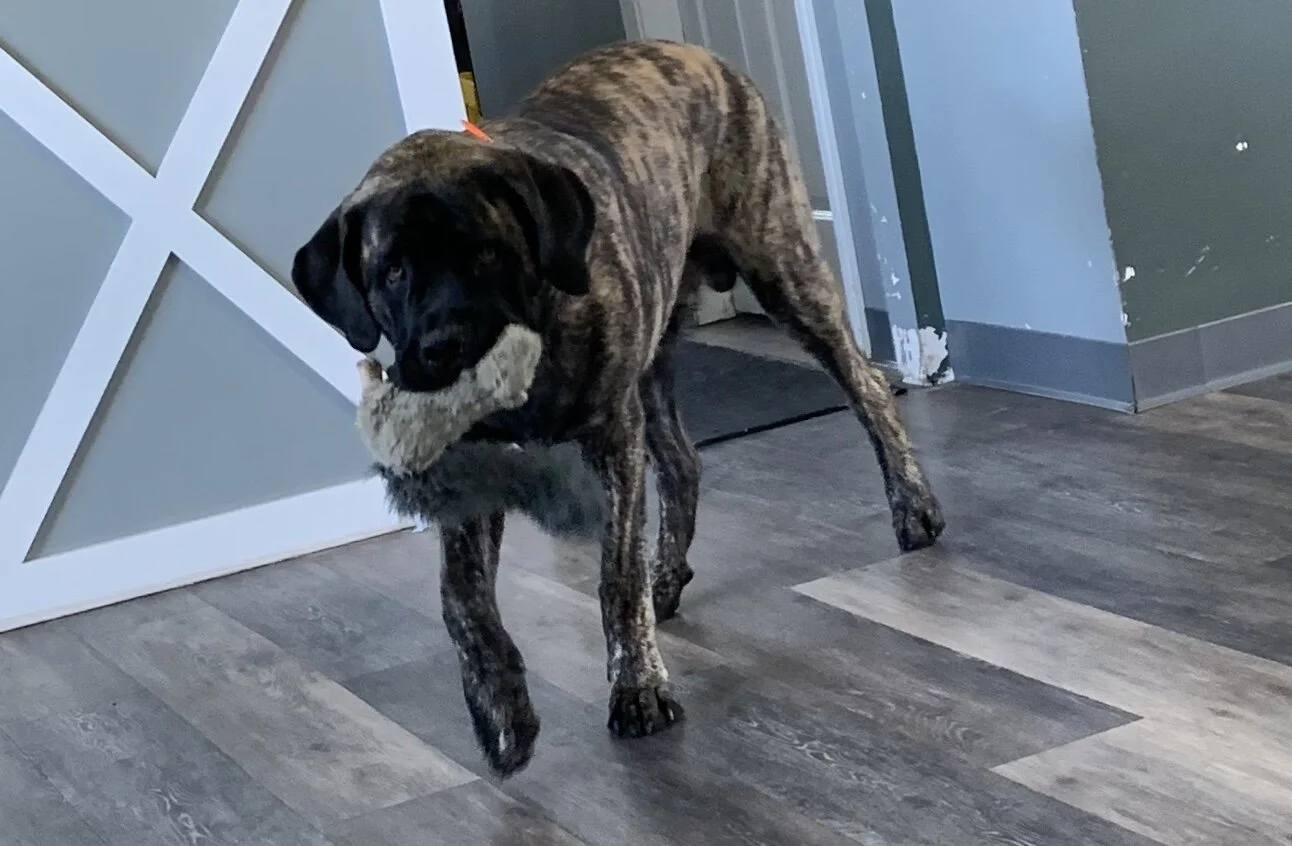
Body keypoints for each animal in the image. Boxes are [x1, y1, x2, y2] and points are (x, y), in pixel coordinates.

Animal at [291, 39, 945, 777]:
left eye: (486, 253)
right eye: (393, 272)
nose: (443, 347)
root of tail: (696, 55)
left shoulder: (612, 434)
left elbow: (615, 570)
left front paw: (636, 685)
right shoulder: (472, 469)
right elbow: (461, 600)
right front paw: (500, 708)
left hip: (784, 268)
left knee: (867, 386)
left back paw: (913, 509)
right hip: (656, 359)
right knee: (684, 462)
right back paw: (669, 578)